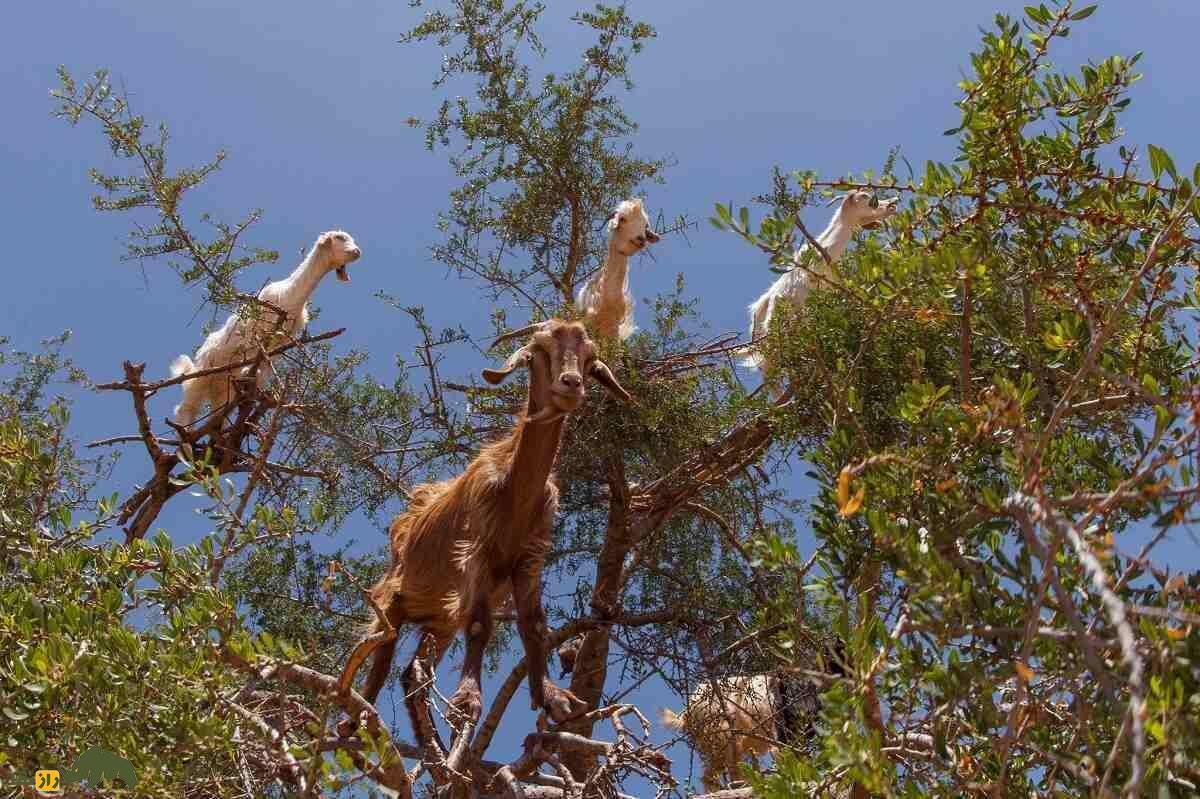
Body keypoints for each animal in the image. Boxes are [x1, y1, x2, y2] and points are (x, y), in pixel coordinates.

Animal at [170, 230, 360, 429]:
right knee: (186, 408)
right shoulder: (258, 331)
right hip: (202, 375)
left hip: (221, 389)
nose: (357, 252)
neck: (290, 294)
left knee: (215, 418)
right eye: (340, 238)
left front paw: (258, 384)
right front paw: (249, 373)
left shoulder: (281, 342)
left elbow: (265, 365)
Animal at [343, 316, 633, 734]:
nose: (570, 384)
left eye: (590, 359)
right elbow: (480, 626)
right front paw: (467, 702)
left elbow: (534, 625)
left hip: (440, 617)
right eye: (538, 350)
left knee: (414, 667)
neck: (514, 492)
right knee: (382, 648)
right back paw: (357, 717)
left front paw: (553, 697)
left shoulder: (529, 559)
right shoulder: (475, 552)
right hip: (394, 594)